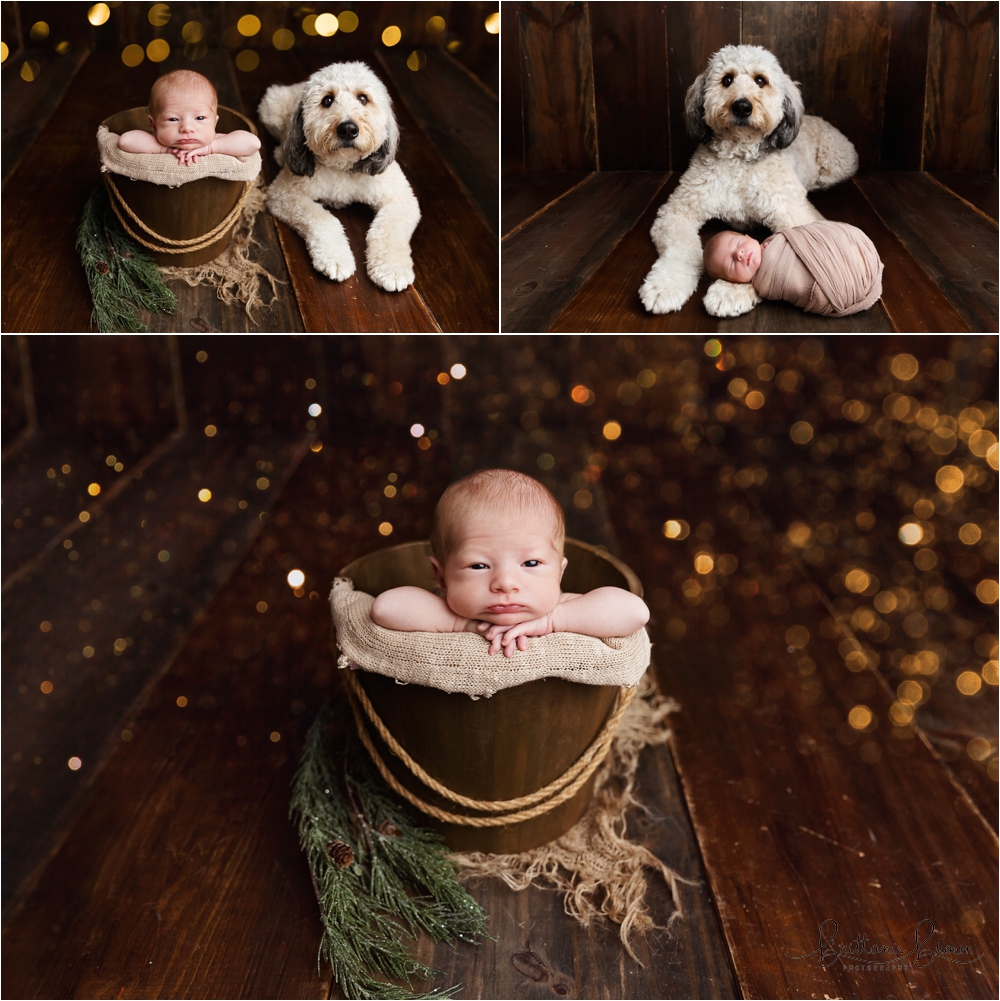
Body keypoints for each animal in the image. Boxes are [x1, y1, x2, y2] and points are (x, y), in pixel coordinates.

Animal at [260, 61, 420, 292]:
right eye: (327, 100)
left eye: (363, 98)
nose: (348, 128)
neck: (343, 166)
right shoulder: (285, 195)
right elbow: (325, 220)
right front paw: (336, 259)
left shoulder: (402, 200)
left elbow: (389, 230)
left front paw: (392, 269)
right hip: (271, 108)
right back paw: (282, 154)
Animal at [640, 45, 860, 318]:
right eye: (727, 79)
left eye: (760, 80)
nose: (742, 107)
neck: (739, 157)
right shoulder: (677, 212)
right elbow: (682, 250)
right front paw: (666, 285)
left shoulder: (795, 214)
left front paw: (731, 290)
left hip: (836, 165)